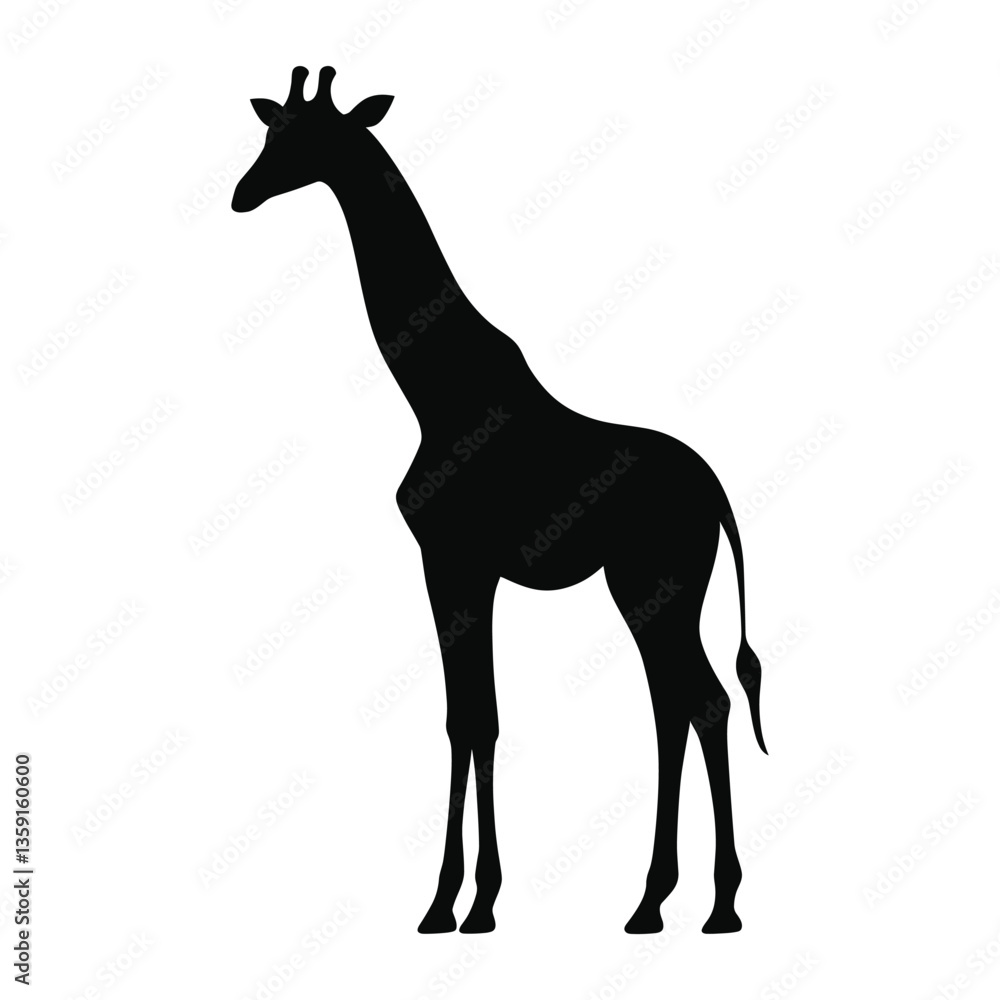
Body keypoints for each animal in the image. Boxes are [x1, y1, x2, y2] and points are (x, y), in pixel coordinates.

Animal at [232, 66, 767, 936]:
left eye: (312, 139)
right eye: (271, 130)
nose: (242, 193)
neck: (434, 394)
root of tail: (718, 494)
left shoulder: (453, 558)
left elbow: (470, 719)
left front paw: (458, 902)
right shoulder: (461, 566)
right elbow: (473, 716)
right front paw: (468, 898)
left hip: (655, 583)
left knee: (703, 701)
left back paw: (716, 905)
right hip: (652, 590)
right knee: (679, 704)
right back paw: (654, 901)